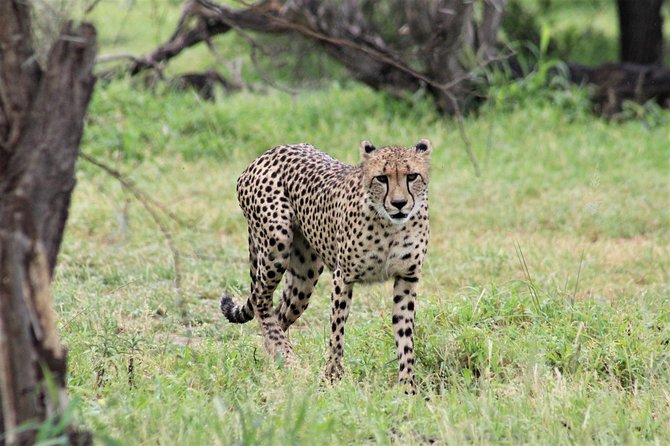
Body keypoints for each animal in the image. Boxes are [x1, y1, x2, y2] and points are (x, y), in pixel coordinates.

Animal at [219, 139, 430, 394]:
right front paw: (332, 377)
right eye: (381, 178)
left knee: (279, 313)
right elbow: (337, 332)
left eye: (412, 176)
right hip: (276, 241)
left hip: (304, 276)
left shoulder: (407, 279)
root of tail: (270, 152)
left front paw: (408, 388)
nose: (399, 204)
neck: (391, 226)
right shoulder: (343, 277)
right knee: (261, 299)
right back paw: (289, 358)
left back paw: (277, 364)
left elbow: (405, 336)